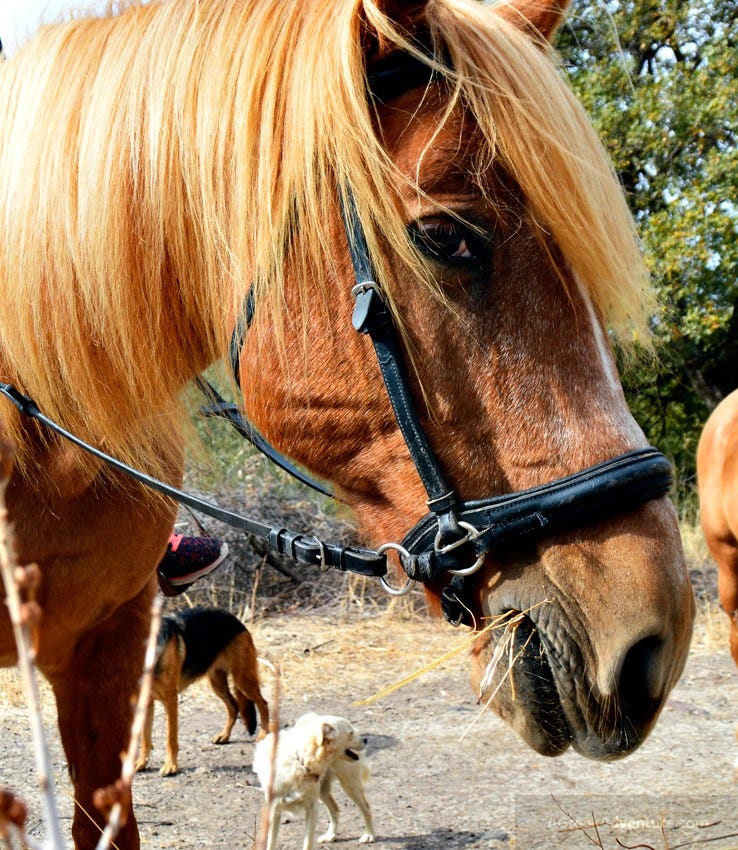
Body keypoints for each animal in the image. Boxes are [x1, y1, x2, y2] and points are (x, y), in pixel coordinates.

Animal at [134, 604, 268, 776]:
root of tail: (233, 618)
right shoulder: (146, 703)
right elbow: (145, 739)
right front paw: (141, 763)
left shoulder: (170, 701)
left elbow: (170, 739)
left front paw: (171, 766)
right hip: (217, 684)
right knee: (234, 706)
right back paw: (224, 735)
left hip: (243, 681)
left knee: (263, 703)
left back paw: (264, 733)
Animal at [254, 708, 374, 848]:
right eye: (351, 733)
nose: (365, 739)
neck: (301, 761)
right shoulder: (274, 811)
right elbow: (271, 843)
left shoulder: (312, 810)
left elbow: (307, 843)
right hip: (323, 792)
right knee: (335, 809)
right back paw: (331, 835)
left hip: (350, 784)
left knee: (366, 808)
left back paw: (369, 835)